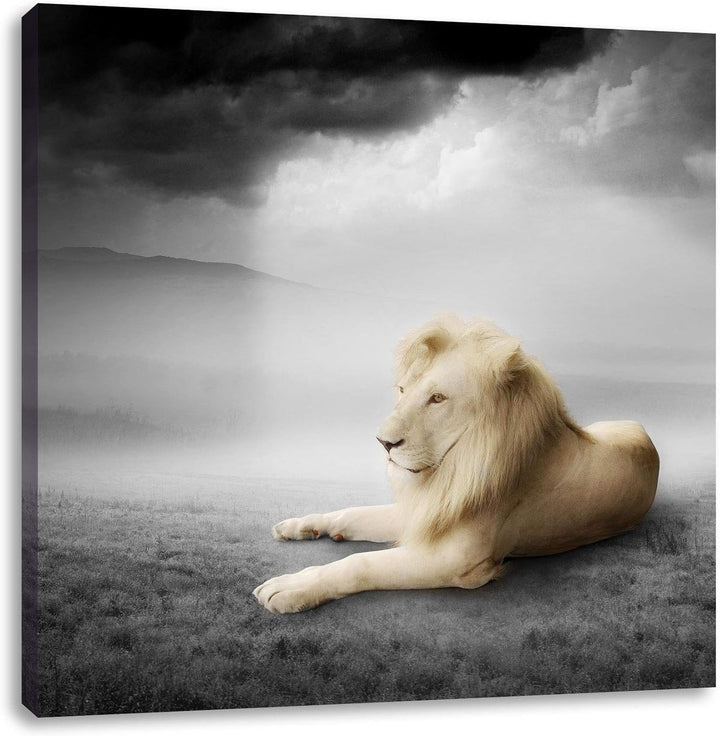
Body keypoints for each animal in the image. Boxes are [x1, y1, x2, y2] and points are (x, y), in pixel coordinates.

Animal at [253, 314, 660, 613]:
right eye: (403, 390)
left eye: (437, 398)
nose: (383, 442)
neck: (451, 470)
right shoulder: (428, 511)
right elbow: (354, 513)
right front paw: (304, 525)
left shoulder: (457, 560)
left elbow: (360, 563)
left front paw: (293, 586)